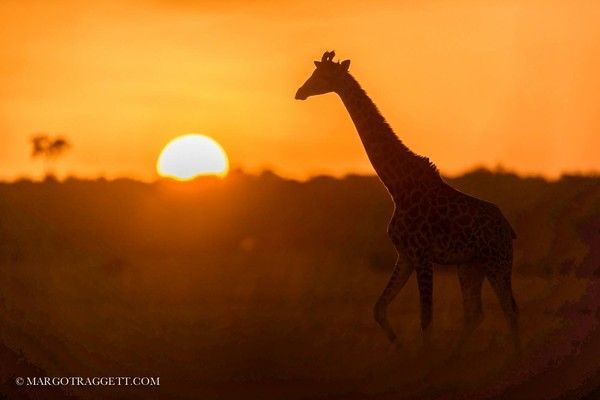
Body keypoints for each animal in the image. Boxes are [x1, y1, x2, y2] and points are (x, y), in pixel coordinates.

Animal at [296, 50, 520, 354]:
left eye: (321, 75)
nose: (300, 92)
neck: (397, 187)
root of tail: (508, 229)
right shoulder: (405, 255)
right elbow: (379, 308)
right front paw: (402, 349)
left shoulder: (422, 255)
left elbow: (426, 318)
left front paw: (422, 357)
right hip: (469, 266)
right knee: (475, 313)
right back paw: (453, 357)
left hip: (497, 261)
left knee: (510, 310)